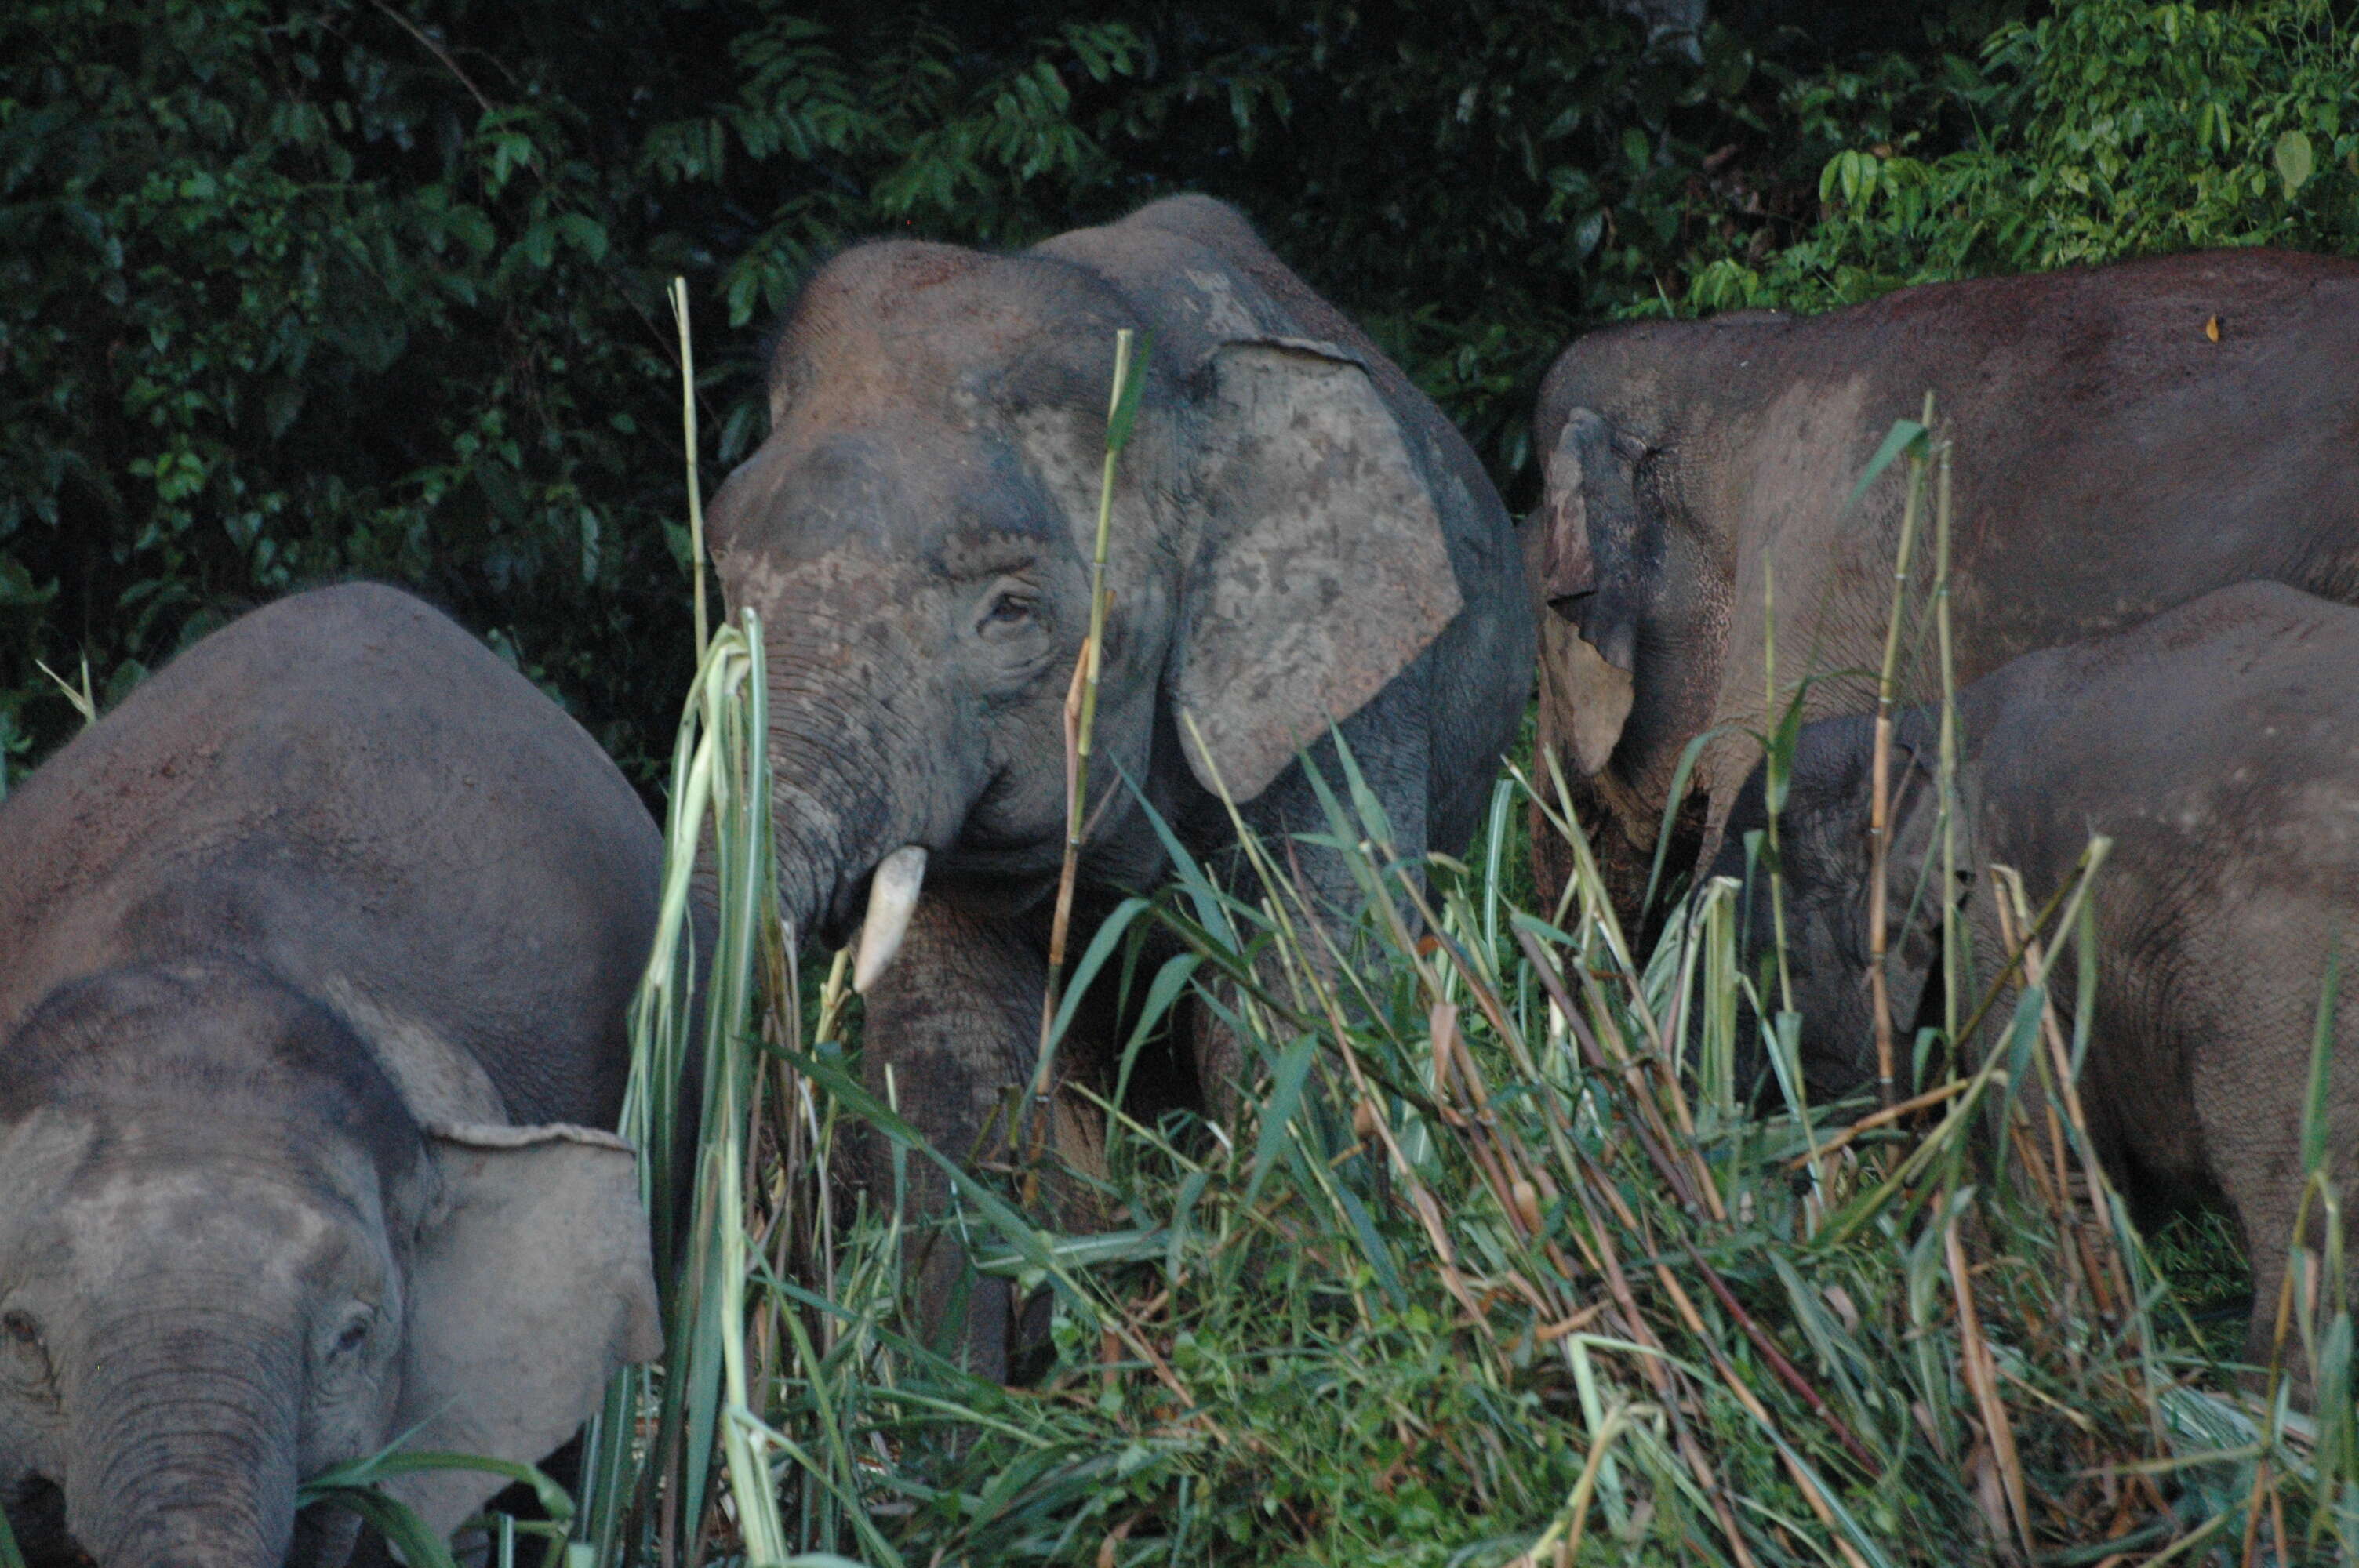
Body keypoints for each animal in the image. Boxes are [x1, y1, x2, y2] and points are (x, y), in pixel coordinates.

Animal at [707, 192, 1538, 1367]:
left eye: (1012, 611)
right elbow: (956, 1063)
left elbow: (1297, 1001)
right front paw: (970, 1400)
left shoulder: (1344, 691)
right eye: (726, 577)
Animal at [1707, 579, 2359, 1367]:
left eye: (1768, 962)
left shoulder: (2006, 931)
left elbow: (2054, 1179)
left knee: (2299, 1227)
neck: (1920, 730)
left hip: (2285, 981)